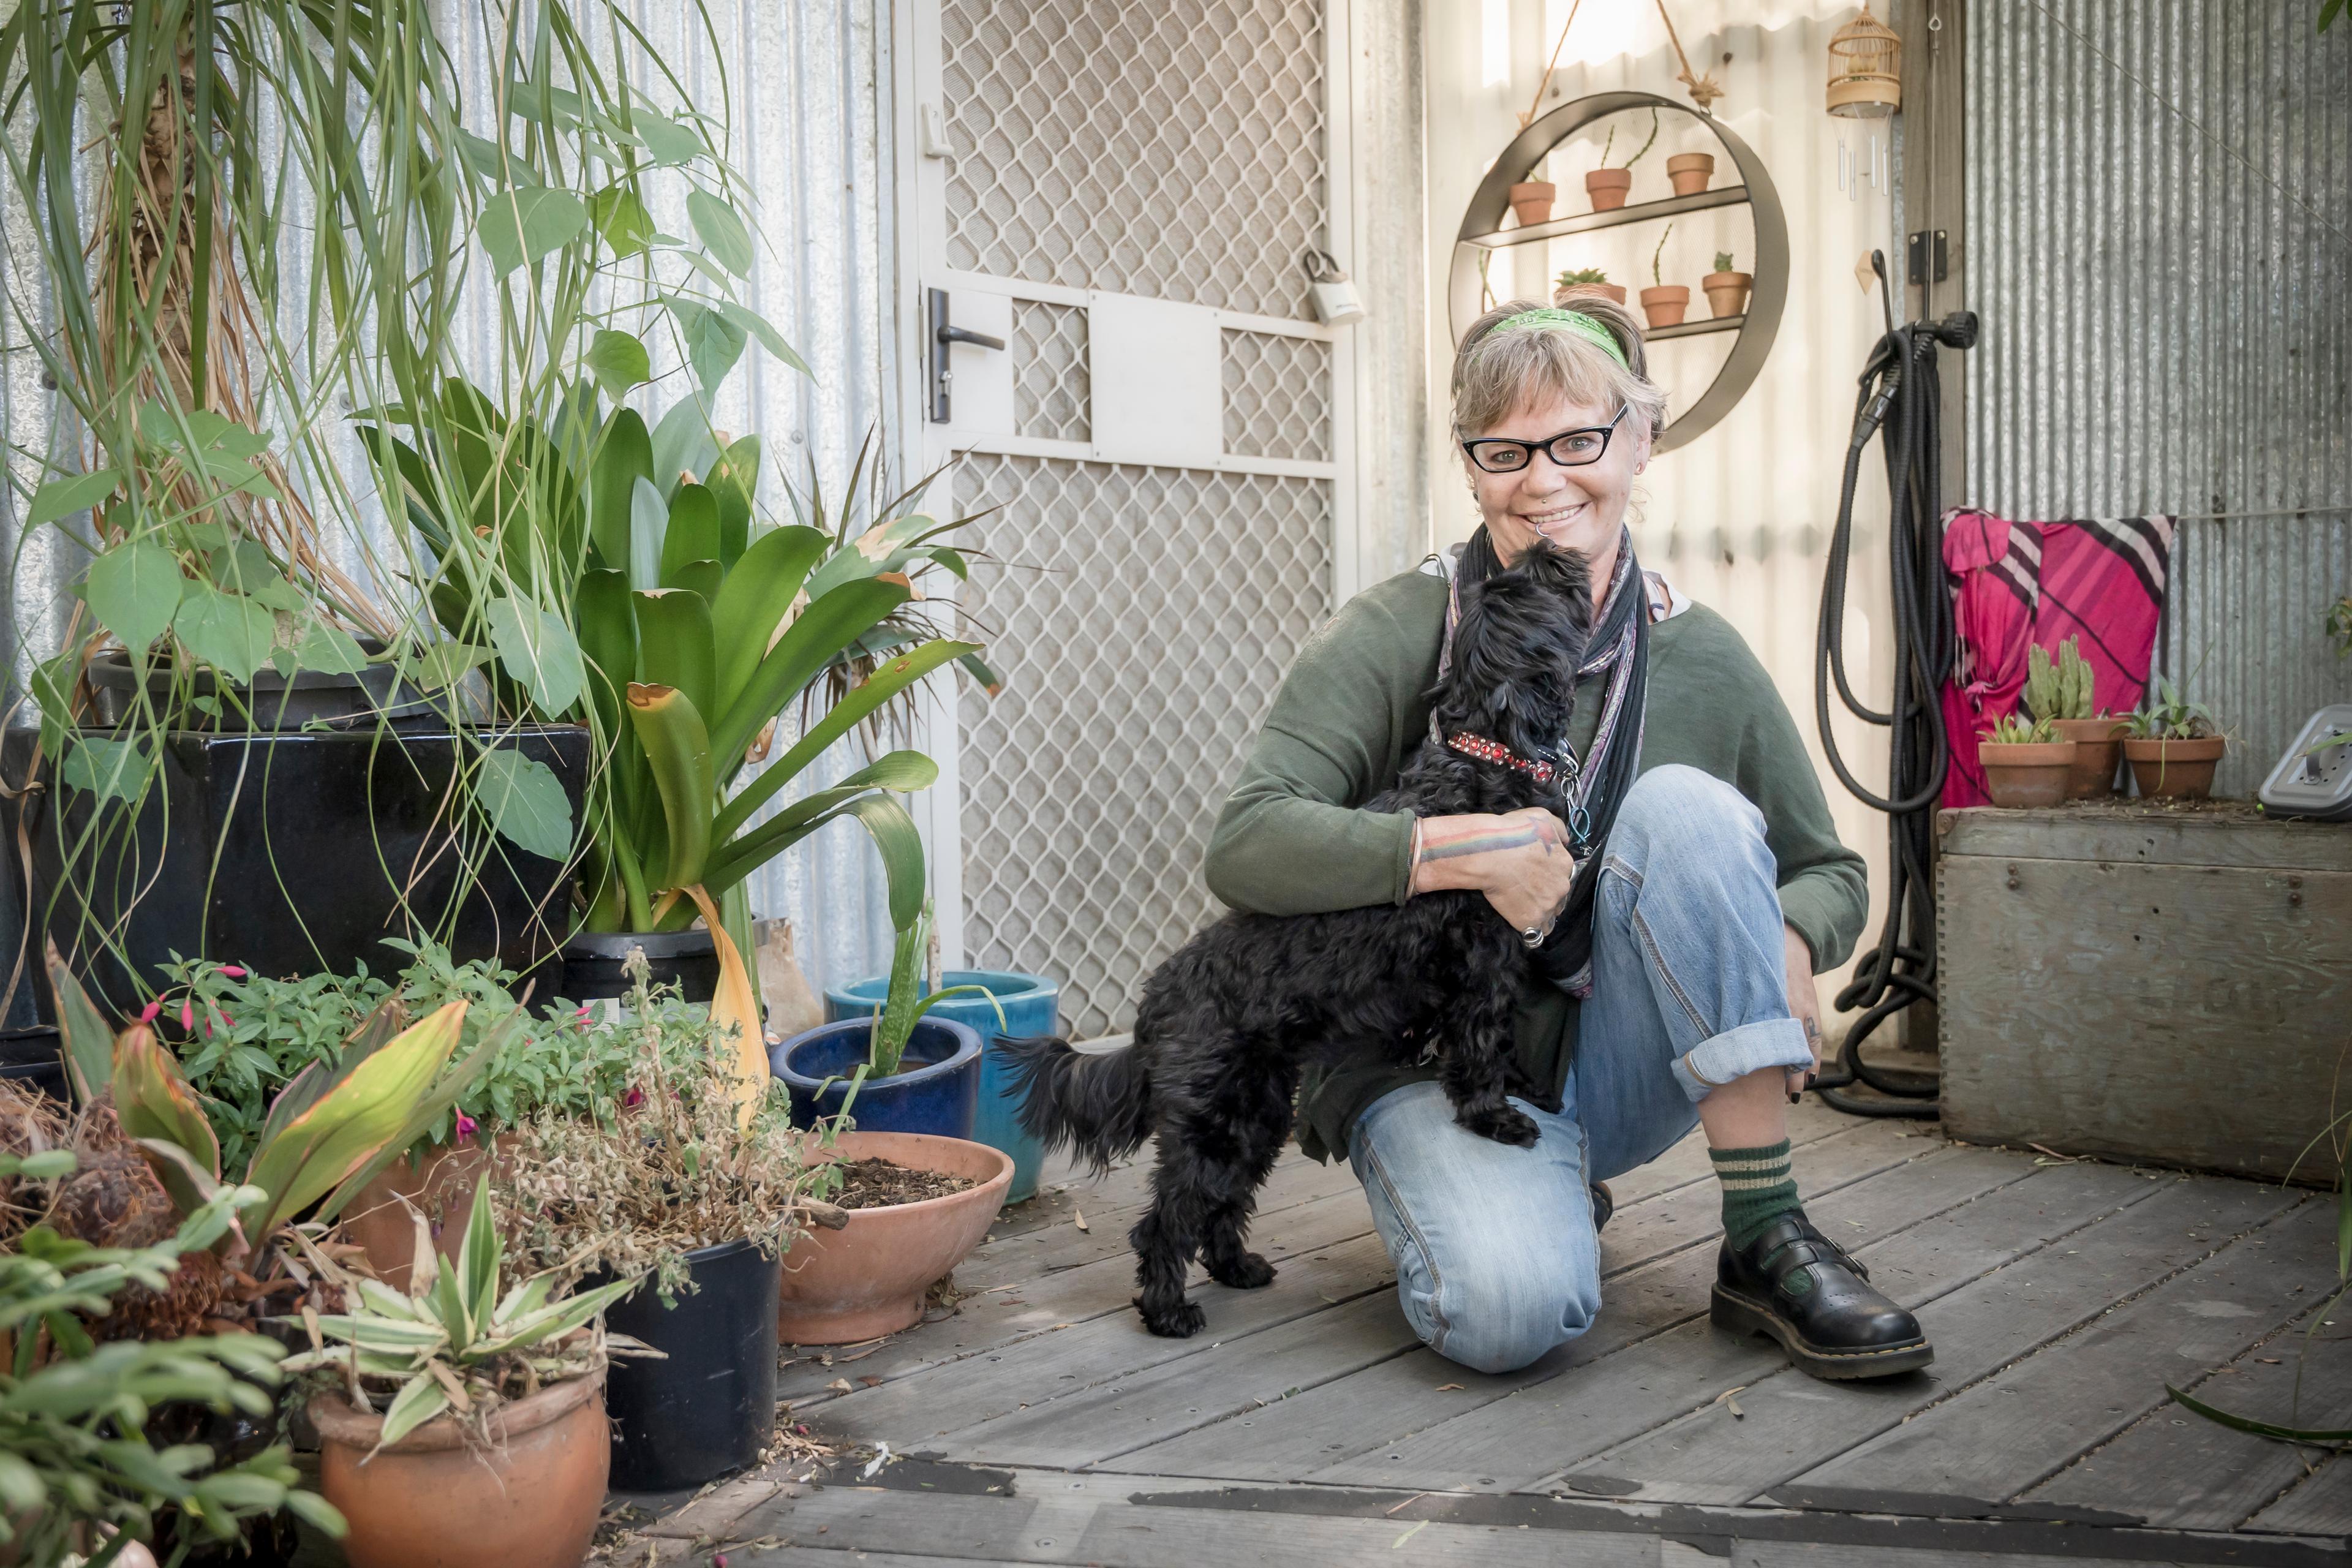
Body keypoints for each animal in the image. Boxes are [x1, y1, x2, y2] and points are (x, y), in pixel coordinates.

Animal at [1001, 540, 1589, 1335]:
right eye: (1534, 583)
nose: (1548, 547)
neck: (1485, 758)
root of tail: (1154, 1007)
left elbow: (1498, 1041)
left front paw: (1525, 1089)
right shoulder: (1483, 963)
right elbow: (1480, 1047)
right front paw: (1495, 1118)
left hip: (1259, 1111)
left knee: (1221, 1202)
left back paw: (1237, 1267)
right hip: (1214, 1118)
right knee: (1166, 1218)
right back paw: (1168, 1310)